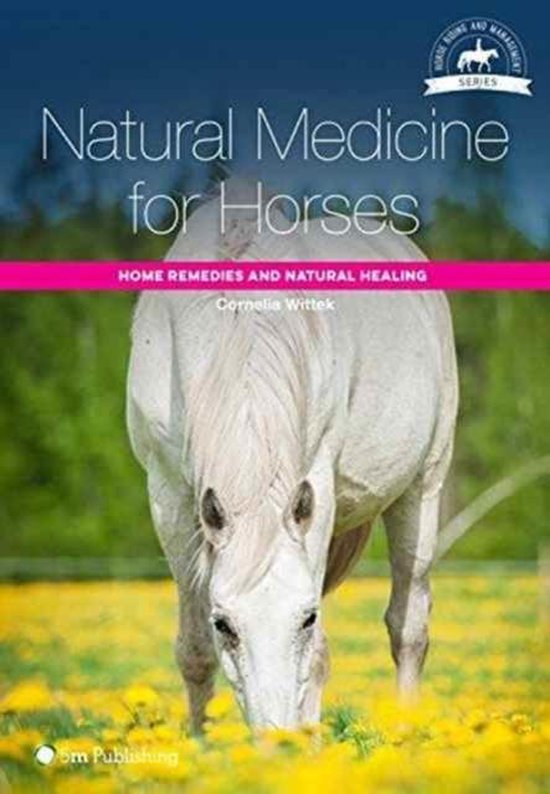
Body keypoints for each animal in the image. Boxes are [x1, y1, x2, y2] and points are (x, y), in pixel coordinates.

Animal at [126, 183, 459, 731]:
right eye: (225, 624)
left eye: (306, 618)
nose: (275, 737)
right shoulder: (168, 494)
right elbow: (193, 652)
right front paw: (200, 744)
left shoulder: (315, 484)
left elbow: (320, 655)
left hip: (423, 486)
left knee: (409, 627)